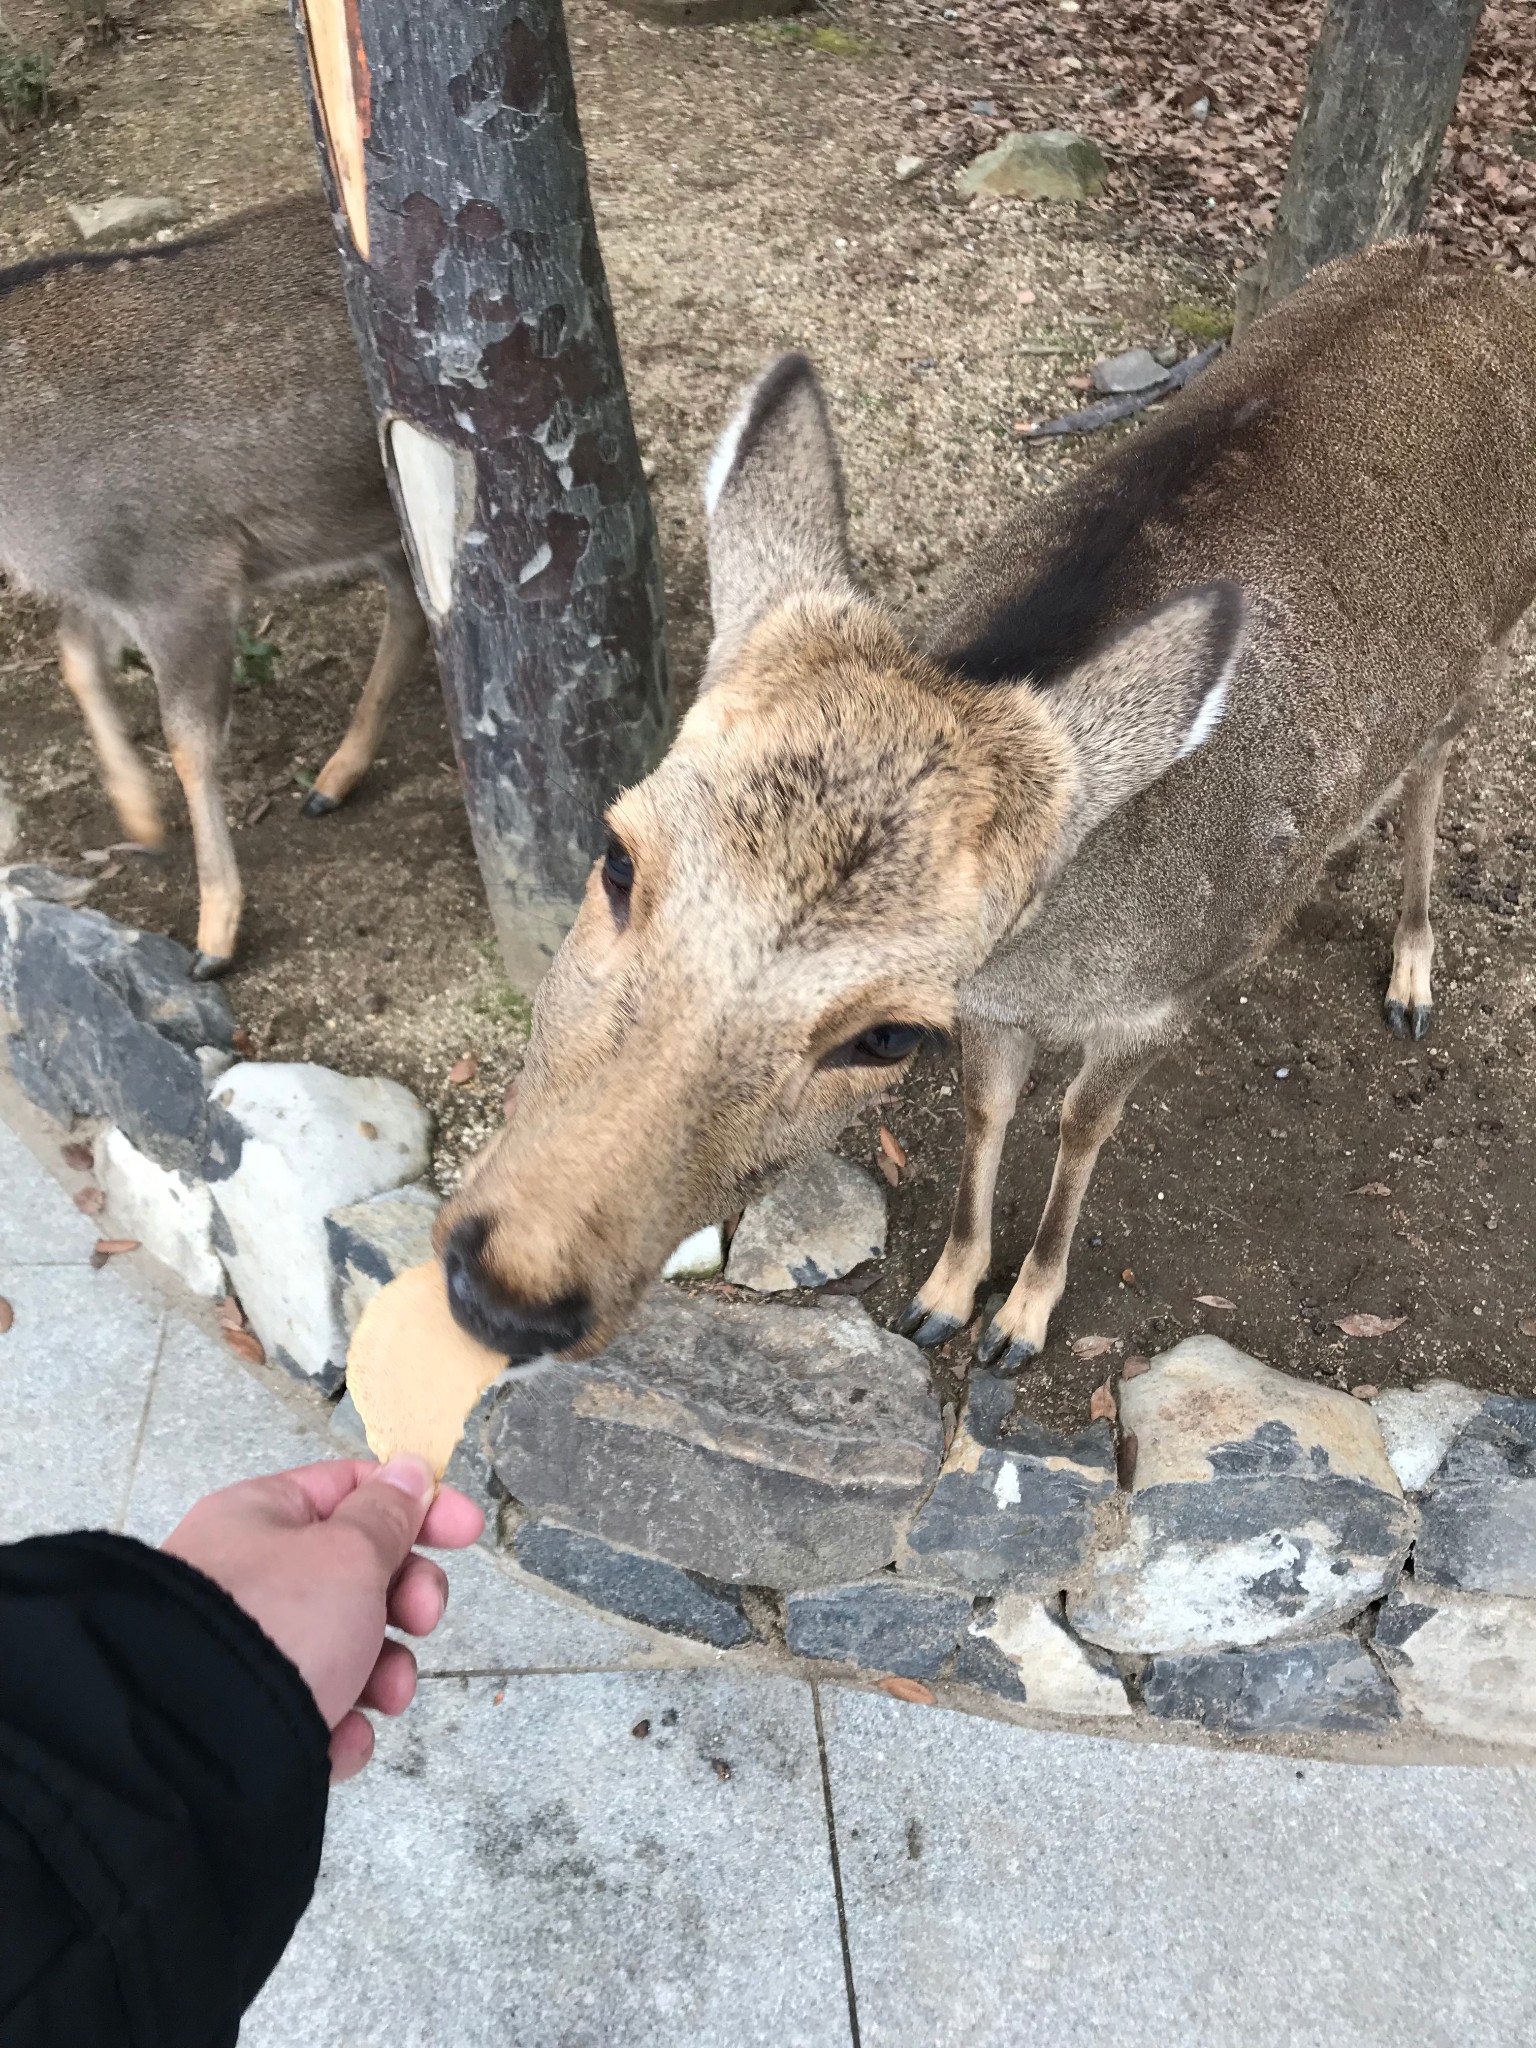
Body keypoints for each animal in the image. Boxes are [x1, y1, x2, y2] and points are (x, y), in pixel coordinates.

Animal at [0, 195, 428, 978]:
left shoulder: (180, 573)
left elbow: (190, 741)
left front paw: (214, 935)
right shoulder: (113, 579)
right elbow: (74, 657)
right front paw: (140, 818)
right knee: (414, 603)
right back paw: (334, 779)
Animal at [430, 247, 1536, 1384]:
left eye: (883, 1037)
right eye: (616, 857)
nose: (508, 1288)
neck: (1055, 961)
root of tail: (1473, 266)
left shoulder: (1167, 998)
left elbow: (1084, 1125)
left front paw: (1021, 1319)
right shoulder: (991, 1005)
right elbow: (985, 1108)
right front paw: (944, 1295)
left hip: (1485, 648)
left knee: (1431, 774)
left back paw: (1412, 978)